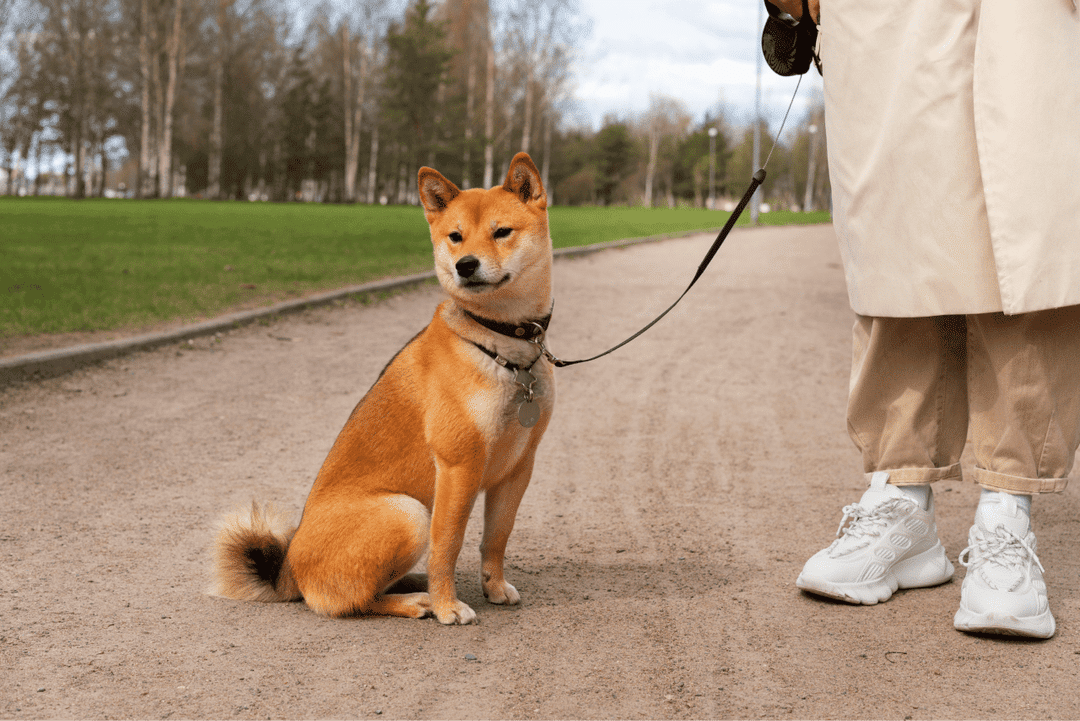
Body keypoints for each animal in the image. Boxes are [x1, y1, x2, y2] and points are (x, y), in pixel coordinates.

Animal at [208, 153, 557, 626]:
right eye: (455, 237)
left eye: (501, 231)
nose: (465, 264)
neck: (503, 345)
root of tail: (290, 571)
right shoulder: (458, 466)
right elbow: (447, 547)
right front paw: (447, 605)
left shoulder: (518, 466)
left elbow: (497, 537)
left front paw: (494, 586)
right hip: (407, 512)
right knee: (351, 600)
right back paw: (416, 600)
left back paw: (412, 584)